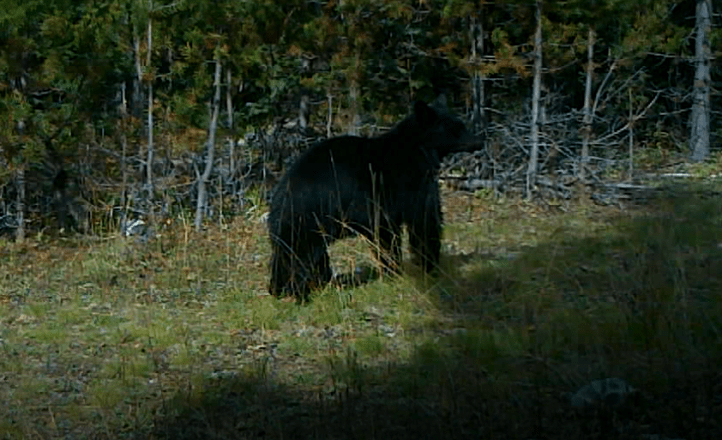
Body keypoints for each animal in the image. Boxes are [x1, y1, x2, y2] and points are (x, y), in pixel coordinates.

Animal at [267, 100, 482, 298]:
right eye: (456, 128)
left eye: (461, 124)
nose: (478, 141)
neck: (416, 148)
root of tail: (279, 194)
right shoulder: (404, 188)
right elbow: (423, 222)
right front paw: (424, 267)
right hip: (308, 218)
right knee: (299, 255)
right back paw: (296, 290)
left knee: (292, 255)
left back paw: (288, 287)